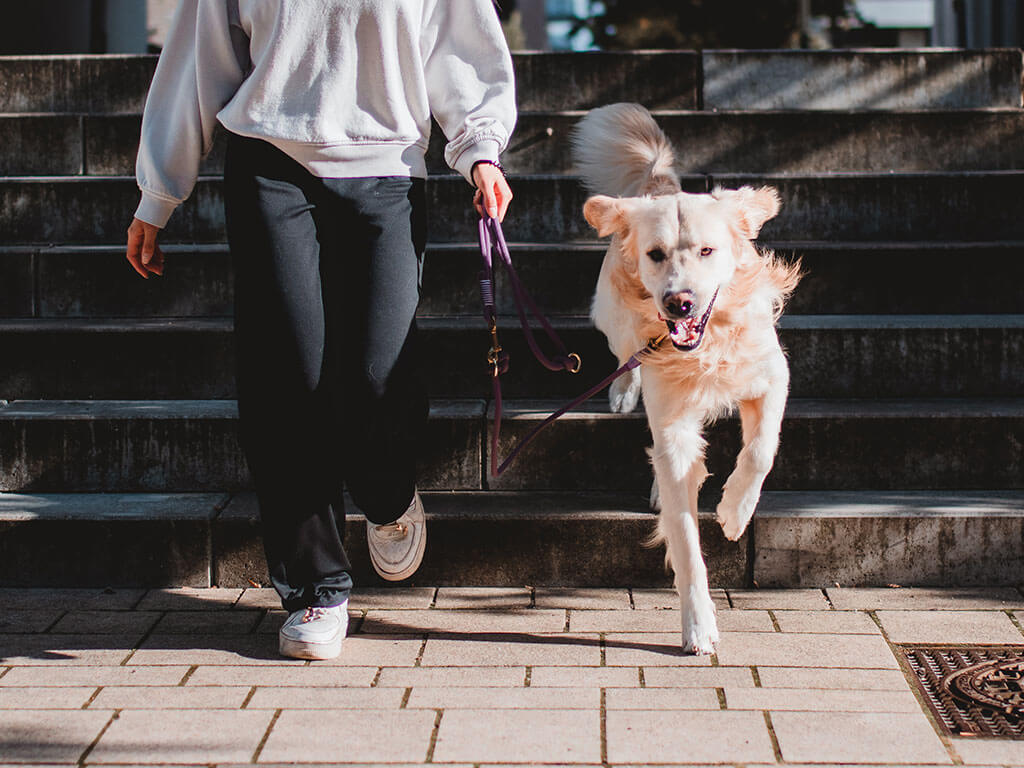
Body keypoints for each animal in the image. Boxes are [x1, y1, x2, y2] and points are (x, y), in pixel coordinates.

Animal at [569, 103, 798, 655]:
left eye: (708, 251)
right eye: (656, 254)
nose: (679, 303)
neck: (707, 346)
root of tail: (655, 186)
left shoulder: (772, 375)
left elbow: (761, 451)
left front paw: (735, 511)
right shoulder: (671, 424)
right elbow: (686, 540)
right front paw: (698, 624)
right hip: (614, 320)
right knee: (626, 359)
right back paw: (623, 391)